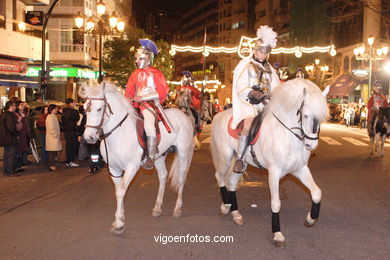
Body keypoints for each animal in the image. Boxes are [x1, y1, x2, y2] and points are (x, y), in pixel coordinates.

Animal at [81, 82, 195, 235]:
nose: (89, 138)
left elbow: (121, 191)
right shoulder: (114, 169)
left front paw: (118, 223)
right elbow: (118, 191)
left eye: (99, 108)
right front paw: (120, 218)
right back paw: (157, 208)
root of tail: (183, 115)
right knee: (163, 177)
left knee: (181, 179)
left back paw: (177, 209)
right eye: (84, 109)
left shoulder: (131, 168)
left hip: (183, 154)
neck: (120, 133)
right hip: (159, 157)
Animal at [212, 78, 328, 247]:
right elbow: (276, 203)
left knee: (232, 183)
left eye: (322, 117)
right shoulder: (274, 172)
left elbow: (317, 193)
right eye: (305, 115)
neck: (287, 135)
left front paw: (310, 219)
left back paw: (236, 213)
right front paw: (277, 234)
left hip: (240, 162)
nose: (311, 145)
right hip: (225, 157)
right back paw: (226, 205)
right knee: (219, 176)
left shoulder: (300, 169)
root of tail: (219, 115)